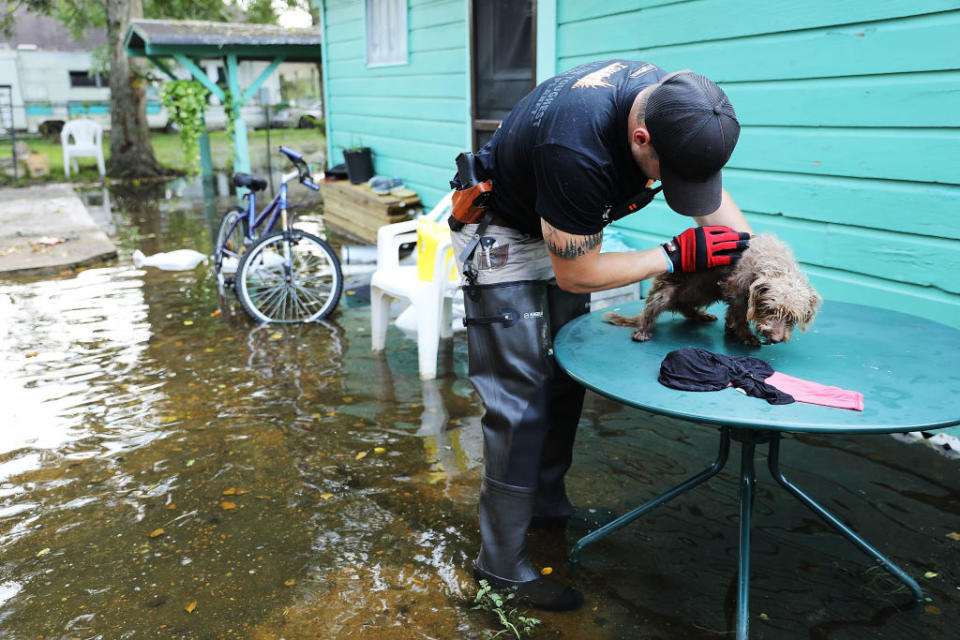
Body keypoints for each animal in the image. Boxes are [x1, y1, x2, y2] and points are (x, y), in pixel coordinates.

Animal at [608, 232, 816, 344]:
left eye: (792, 318)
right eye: (770, 310)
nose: (775, 339)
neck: (773, 263)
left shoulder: (734, 292)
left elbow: (732, 314)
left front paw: (731, 329)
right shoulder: (736, 289)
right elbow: (739, 315)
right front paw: (746, 336)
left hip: (704, 291)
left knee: (684, 307)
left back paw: (701, 315)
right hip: (666, 292)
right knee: (651, 309)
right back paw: (642, 330)